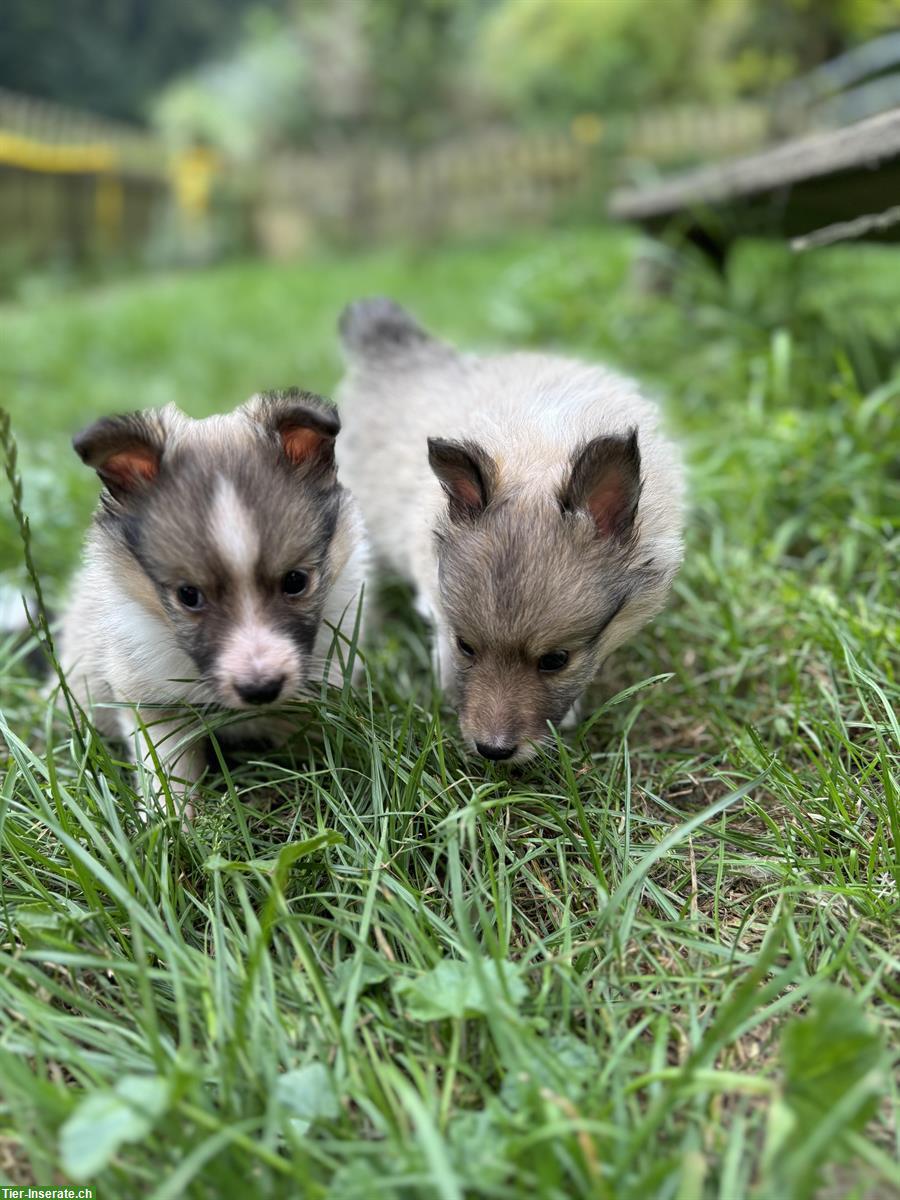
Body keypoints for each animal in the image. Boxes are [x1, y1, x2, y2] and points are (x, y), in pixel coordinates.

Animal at [60, 388, 369, 811]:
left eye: (295, 581)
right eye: (188, 595)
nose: (261, 689)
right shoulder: (151, 694)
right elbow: (167, 767)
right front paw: (169, 820)